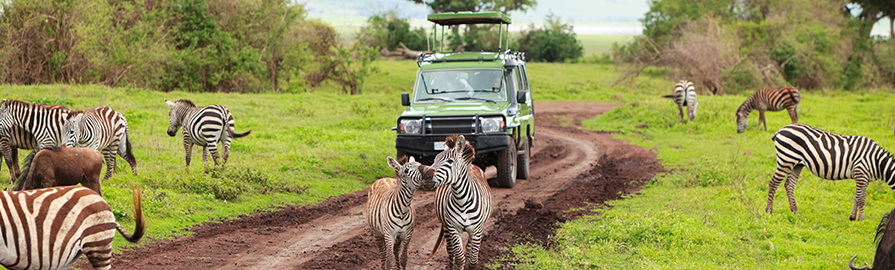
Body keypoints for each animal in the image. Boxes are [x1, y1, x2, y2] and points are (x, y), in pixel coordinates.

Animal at [424, 135, 494, 270]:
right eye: (435, 159)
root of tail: (472, 166)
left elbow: (473, 261)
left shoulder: (477, 230)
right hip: (446, 226)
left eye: (450, 161)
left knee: (468, 248)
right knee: (451, 252)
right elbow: (460, 259)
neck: (462, 200)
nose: (425, 176)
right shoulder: (454, 228)